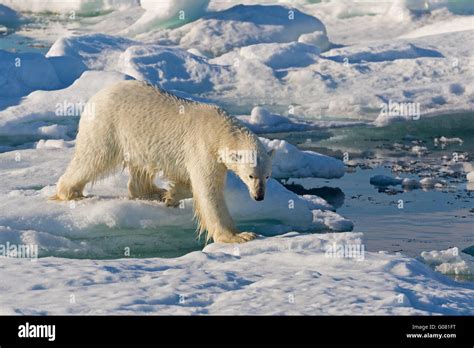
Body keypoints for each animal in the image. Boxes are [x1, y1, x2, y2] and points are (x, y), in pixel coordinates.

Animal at [52, 81, 274, 245]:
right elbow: (208, 191)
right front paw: (240, 235)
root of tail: (97, 95)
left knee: (140, 168)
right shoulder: (203, 147)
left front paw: (171, 195)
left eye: (267, 176)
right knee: (93, 157)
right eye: (251, 175)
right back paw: (71, 192)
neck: (220, 131)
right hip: (108, 125)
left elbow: (189, 182)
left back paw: (153, 192)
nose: (259, 196)